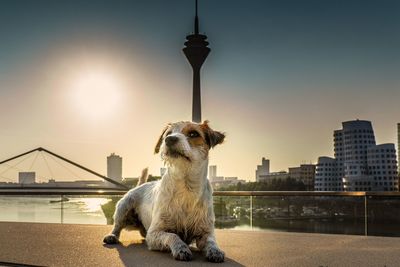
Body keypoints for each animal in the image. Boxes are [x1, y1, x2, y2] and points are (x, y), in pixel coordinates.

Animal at [104, 121, 225, 264]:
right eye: (168, 134)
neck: (186, 187)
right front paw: (181, 249)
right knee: (117, 225)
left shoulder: (205, 231)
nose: (170, 139)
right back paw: (112, 236)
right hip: (123, 207)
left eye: (193, 134)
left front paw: (215, 251)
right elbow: (172, 236)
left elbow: (211, 241)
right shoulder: (154, 233)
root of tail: (140, 185)